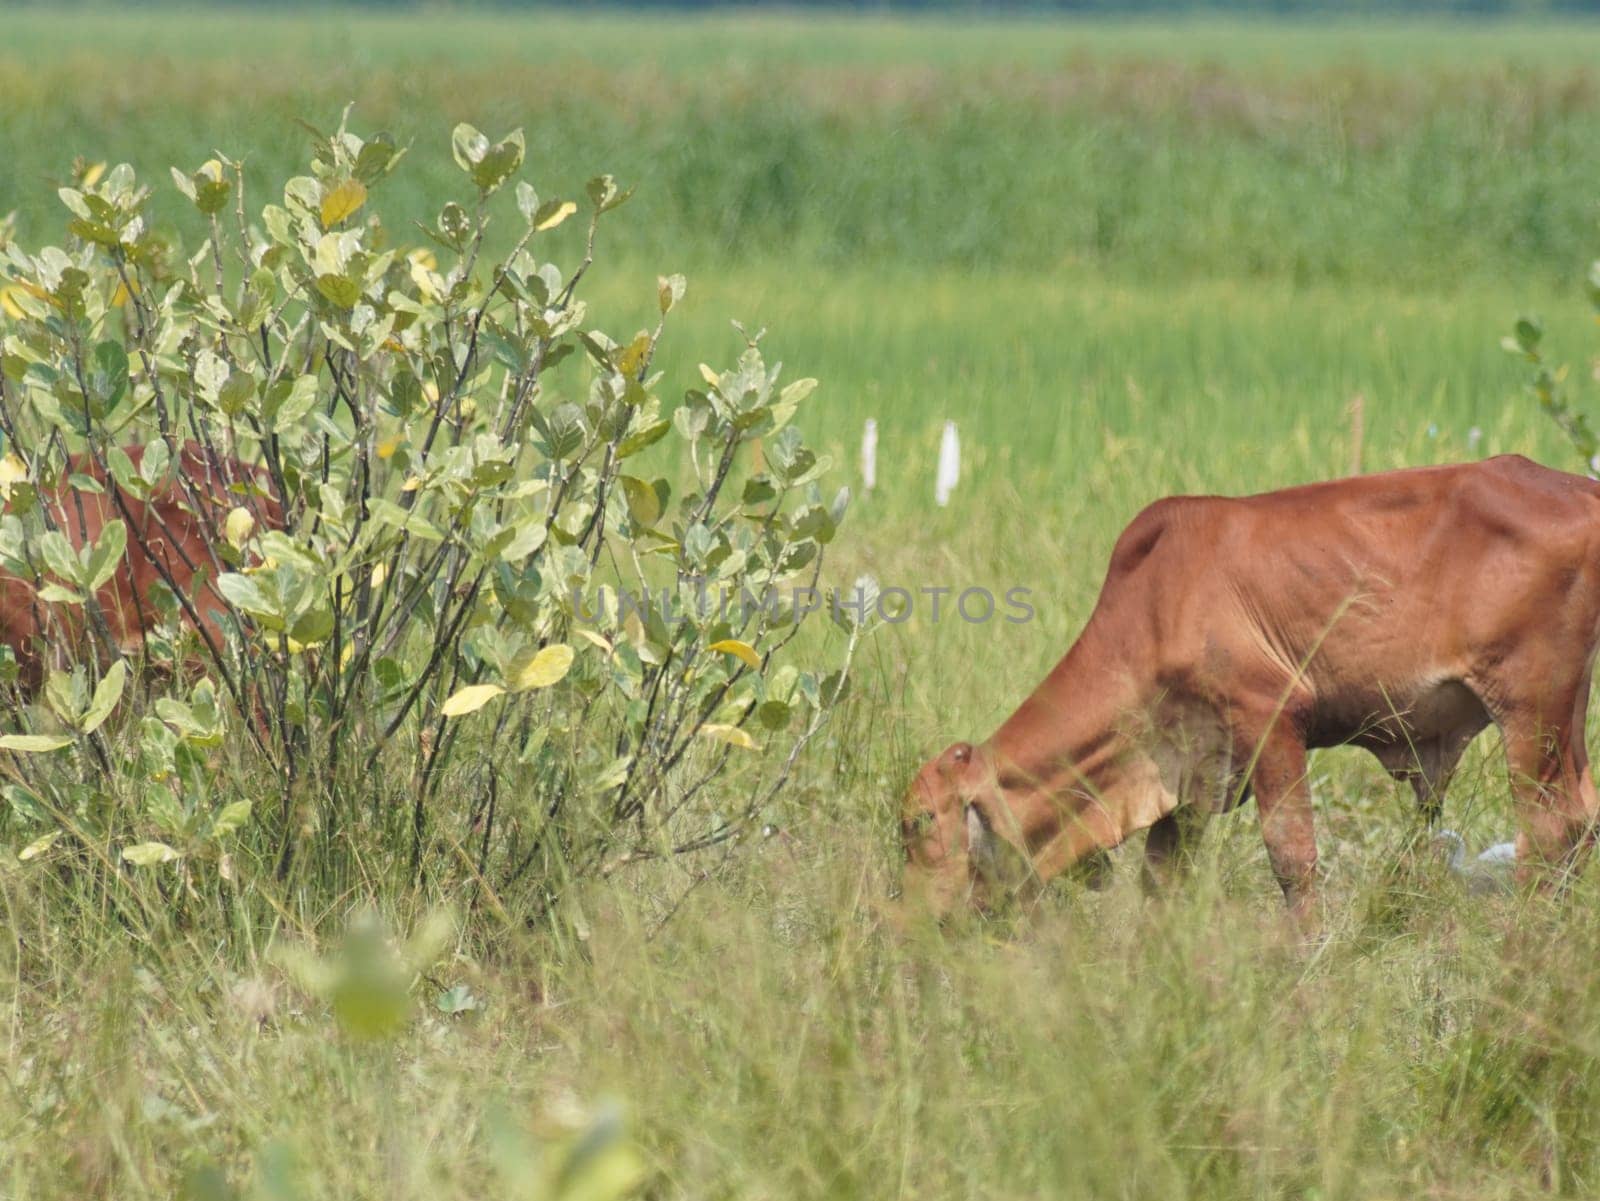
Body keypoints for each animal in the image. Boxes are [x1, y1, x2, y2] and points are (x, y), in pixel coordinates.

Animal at [908, 454, 1600, 927]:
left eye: (913, 822)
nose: (910, 921)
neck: (1152, 608)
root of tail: (1579, 487)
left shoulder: (1271, 719)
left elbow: (1291, 856)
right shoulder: (1189, 775)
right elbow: (1161, 881)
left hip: (1531, 707)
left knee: (1549, 829)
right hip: (1567, 713)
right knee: (1584, 817)